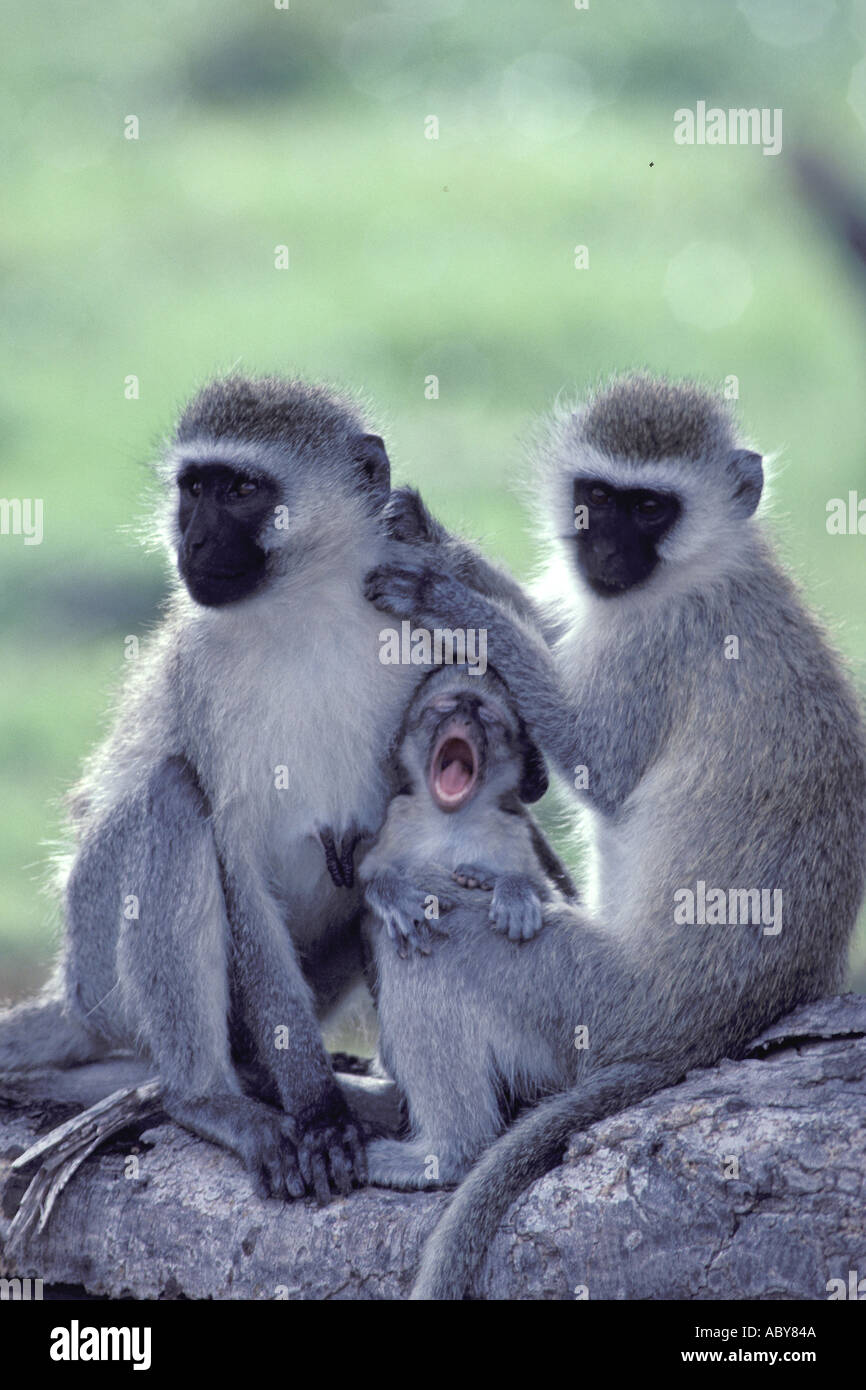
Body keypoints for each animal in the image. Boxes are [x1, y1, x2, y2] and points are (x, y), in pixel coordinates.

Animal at [0, 375, 542, 1200]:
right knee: (173, 798)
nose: (191, 544)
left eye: (241, 490)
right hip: (99, 969)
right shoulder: (201, 667)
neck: (308, 603)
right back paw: (211, 1097)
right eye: (193, 489)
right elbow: (237, 862)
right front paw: (317, 1114)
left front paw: (427, 537)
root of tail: (69, 993)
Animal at [358, 667, 575, 1189]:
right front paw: (390, 893)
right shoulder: (395, 822)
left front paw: (509, 889)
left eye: (488, 714)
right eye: (446, 704)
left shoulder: (513, 835)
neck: (451, 822)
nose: (465, 713)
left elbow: (553, 900)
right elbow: (367, 890)